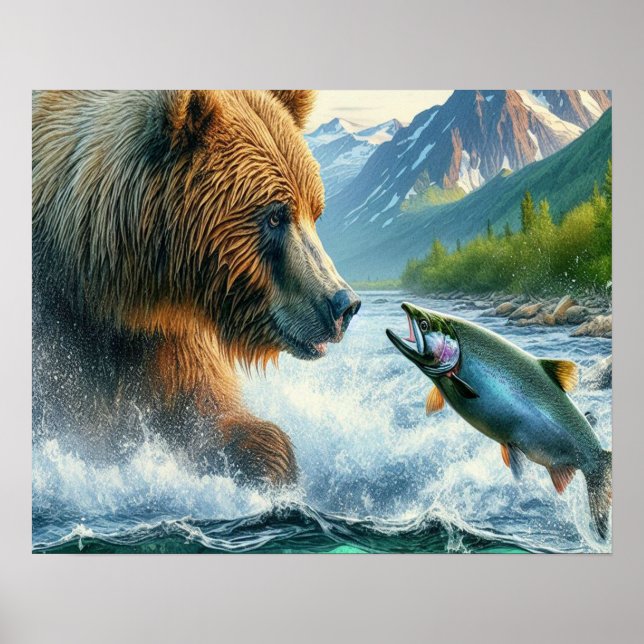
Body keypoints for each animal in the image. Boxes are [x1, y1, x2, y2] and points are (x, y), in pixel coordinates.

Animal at [32, 90, 360, 485]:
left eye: (315, 211)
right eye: (274, 215)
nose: (343, 304)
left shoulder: (166, 333)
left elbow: (208, 410)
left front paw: (266, 456)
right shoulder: (53, 316)